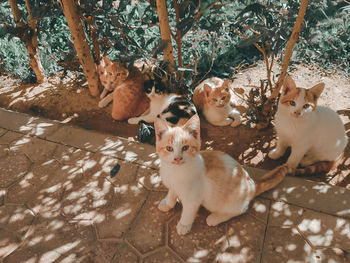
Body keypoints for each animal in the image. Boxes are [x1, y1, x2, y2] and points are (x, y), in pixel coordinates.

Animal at [154, 115, 292, 235]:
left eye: (185, 148)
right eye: (169, 148)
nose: (177, 158)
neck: (175, 171)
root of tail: (252, 184)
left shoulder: (193, 198)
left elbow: (188, 212)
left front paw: (184, 224)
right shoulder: (172, 185)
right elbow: (171, 193)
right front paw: (168, 203)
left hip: (223, 202)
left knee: (241, 210)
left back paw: (215, 217)